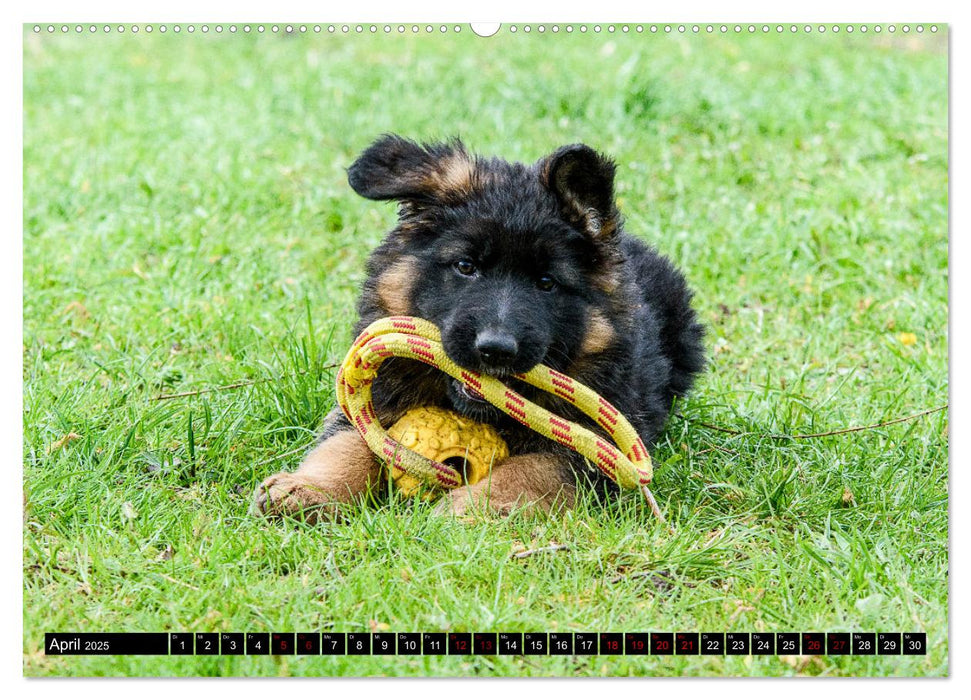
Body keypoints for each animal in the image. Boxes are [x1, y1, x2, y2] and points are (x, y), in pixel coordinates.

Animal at [254, 135, 704, 520]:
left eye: (546, 283)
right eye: (465, 266)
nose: (495, 349)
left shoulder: (593, 445)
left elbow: (534, 468)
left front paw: (472, 506)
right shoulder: (373, 396)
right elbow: (348, 442)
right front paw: (310, 489)